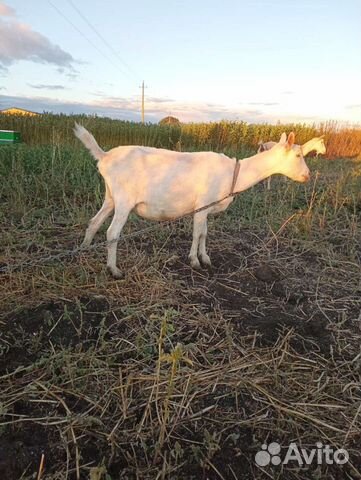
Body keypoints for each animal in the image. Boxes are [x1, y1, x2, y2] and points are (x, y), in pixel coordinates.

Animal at [74, 124, 310, 278]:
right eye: (298, 156)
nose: (307, 175)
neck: (234, 173)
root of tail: (104, 157)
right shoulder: (202, 205)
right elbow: (197, 233)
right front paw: (194, 261)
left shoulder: (205, 207)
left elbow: (204, 232)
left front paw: (205, 258)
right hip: (124, 199)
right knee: (112, 233)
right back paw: (114, 270)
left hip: (111, 197)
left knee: (94, 222)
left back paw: (84, 249)